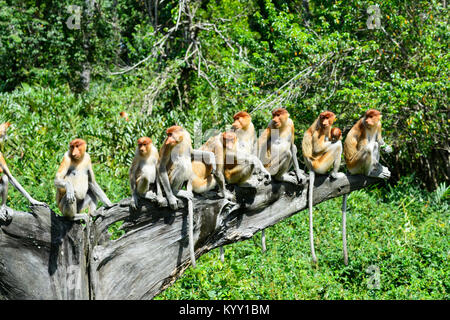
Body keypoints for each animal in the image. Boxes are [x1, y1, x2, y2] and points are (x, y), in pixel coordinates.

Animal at [158, 125, 216, 268]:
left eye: (170, 134)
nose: (168, 139)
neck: (180, 141)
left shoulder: (187, 138)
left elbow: (191, 153)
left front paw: (211, 157)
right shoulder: (167, 146)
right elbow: (161, 166)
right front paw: (171, 198)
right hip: (170, 177)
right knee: (182, 163)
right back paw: (175, 192)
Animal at [302, 111, 344, 264]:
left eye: (327, 117)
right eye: (323, 117)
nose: (325, 122)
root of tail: (311, 167)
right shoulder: (319, 130)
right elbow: (318, 148)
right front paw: (338, 135)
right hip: (321, 164)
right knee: (337, 147)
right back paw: (334, 174)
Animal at [342, 110, 392, 264]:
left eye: (372, 116)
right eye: (367, 117)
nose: (368, 120)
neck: (371, 126)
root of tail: (349, 167)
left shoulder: (378, 125)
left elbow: (380, 141)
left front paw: (387, 147)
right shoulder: (362, 128)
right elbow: (365, 146)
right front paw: (380, 168)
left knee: (375, 144)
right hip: (356, 164)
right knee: (370, 147)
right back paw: (372, 172)